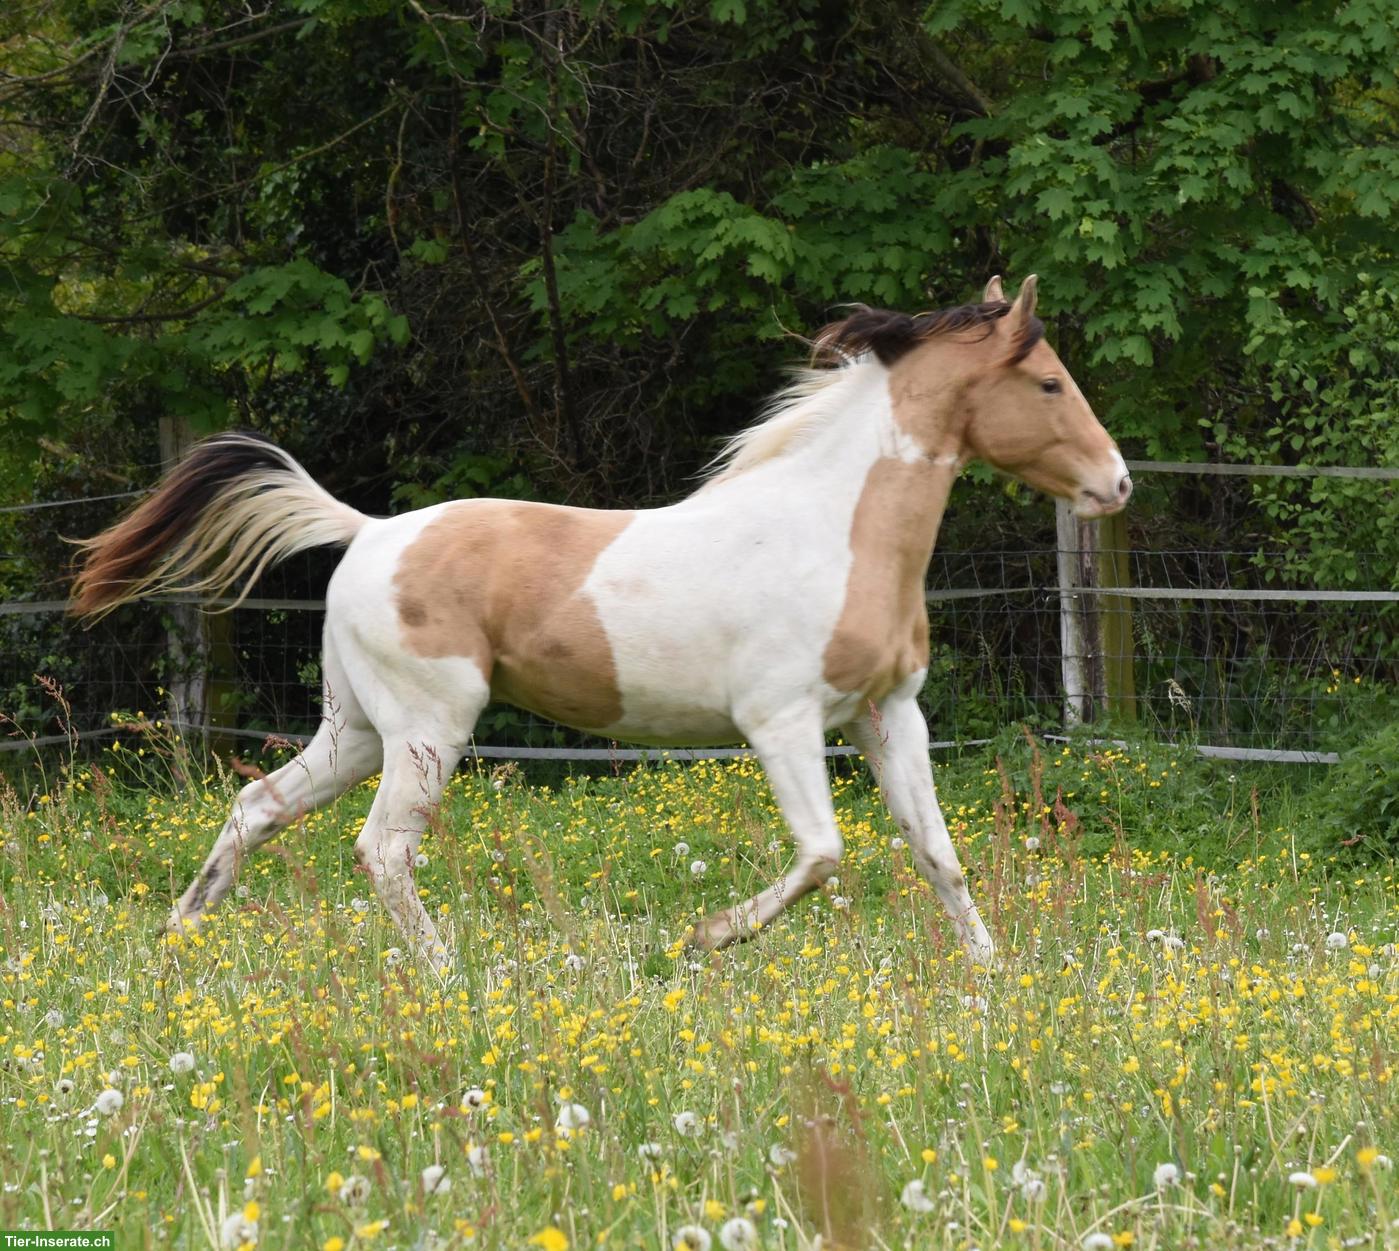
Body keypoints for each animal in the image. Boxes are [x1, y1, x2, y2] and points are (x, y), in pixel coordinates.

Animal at [72, 275, 1130, 973]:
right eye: (1047, 383)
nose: (1115, 483)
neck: (829, 526)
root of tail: (367, 529)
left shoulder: (888, 714)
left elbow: (937, 853)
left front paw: (991, 979)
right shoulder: (781, 723)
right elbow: (823, 854)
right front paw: (706, 936)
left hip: (358, 728)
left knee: (256, 806)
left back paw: (177, 939)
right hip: (427, 729)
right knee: (382, 849)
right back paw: (448, 975)